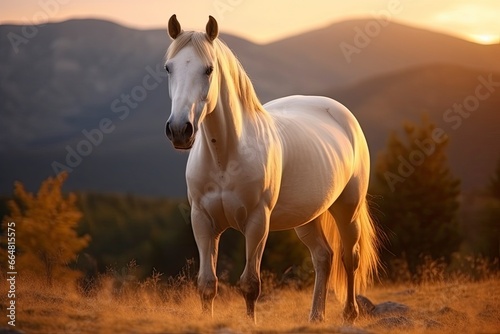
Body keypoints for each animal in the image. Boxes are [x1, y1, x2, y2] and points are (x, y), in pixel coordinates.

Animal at [164, 15, 378, 324]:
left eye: (209, 69)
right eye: (168, 68)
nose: (180, 130)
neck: (224, 157)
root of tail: (341, 113)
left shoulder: (257, 222)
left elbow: (250, 284)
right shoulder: (202, 220)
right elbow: (206, 284)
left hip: (347, 208)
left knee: (350, 257)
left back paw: (349, 314)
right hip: (307, 217)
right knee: (323, 257)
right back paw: (316, 316)